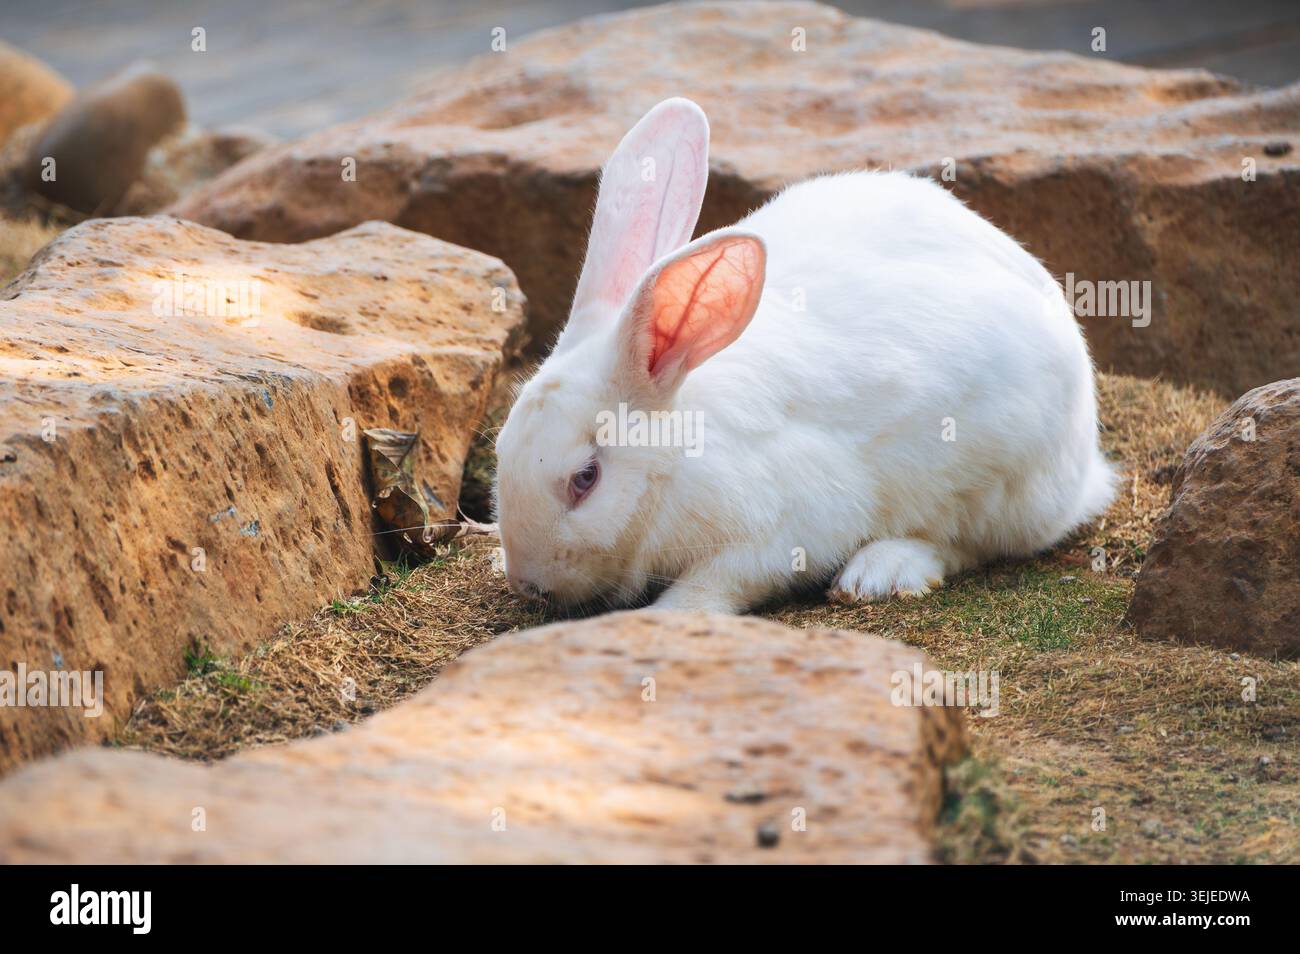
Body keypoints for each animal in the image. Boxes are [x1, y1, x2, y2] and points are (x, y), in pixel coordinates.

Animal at [493, 97, 1116, 614]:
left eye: (586, 478)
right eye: (500, 447)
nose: (527, 583)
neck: (679, 453)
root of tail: (1086, 469)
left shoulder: (784, 526)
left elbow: (721, 581)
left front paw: (670, 615)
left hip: (997, 480)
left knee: (968, 544)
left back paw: (881, 572)